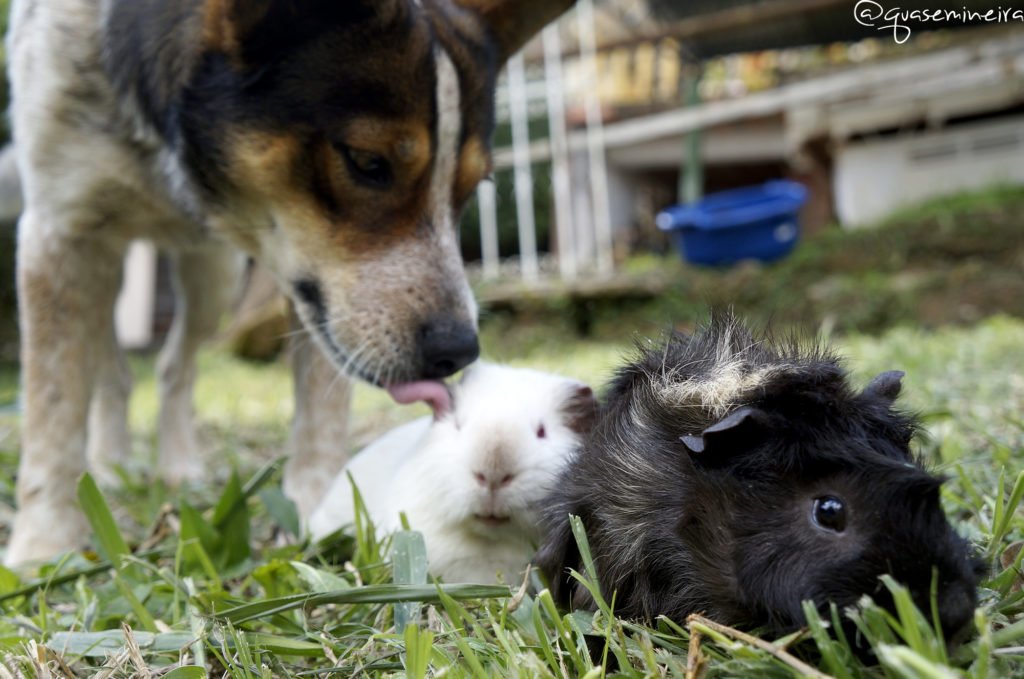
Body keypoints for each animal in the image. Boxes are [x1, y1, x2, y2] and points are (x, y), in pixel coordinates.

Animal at [4, 0, 573, 565]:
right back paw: (109, 466)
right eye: (367, 162)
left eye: (473, 186)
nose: (457, 351)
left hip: (214, 272)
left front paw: (320, 509)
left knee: (173, 368)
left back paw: (173, 466)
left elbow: (321, 406)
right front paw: (44, 545)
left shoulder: (317, 292)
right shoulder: (58, 233)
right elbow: (52, 404)